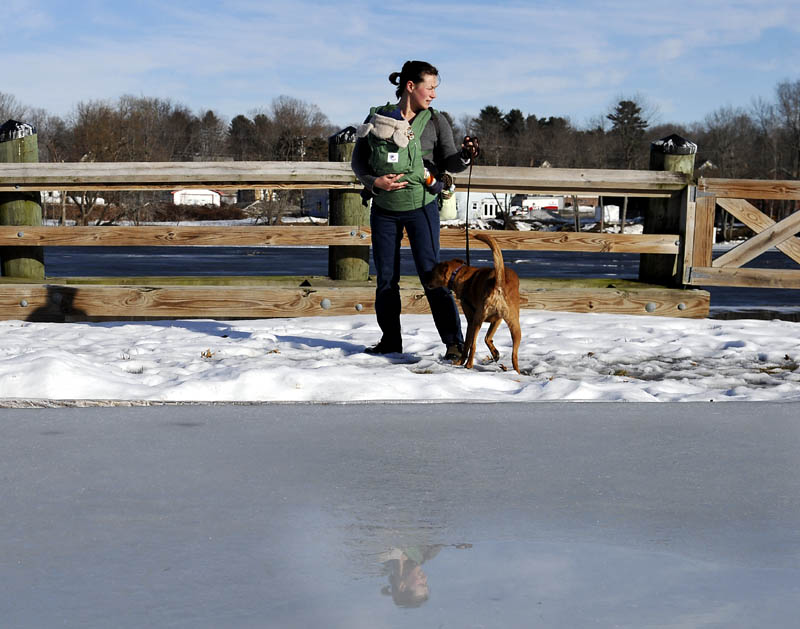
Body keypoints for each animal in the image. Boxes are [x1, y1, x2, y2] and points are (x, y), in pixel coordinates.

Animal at [428, 234, 520, 372]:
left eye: (433, 273)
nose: (425, 279)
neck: (459, 273)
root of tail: (498, 282)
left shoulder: (471, 321)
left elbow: (467, 344)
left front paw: (460, 361)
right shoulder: (497, 320)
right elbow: (488, 338)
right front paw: (495, 353)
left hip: (477, 320)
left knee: (473, 346)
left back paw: (468, 365)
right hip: (515, 326)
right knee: (514, 355)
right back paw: (516, 372)